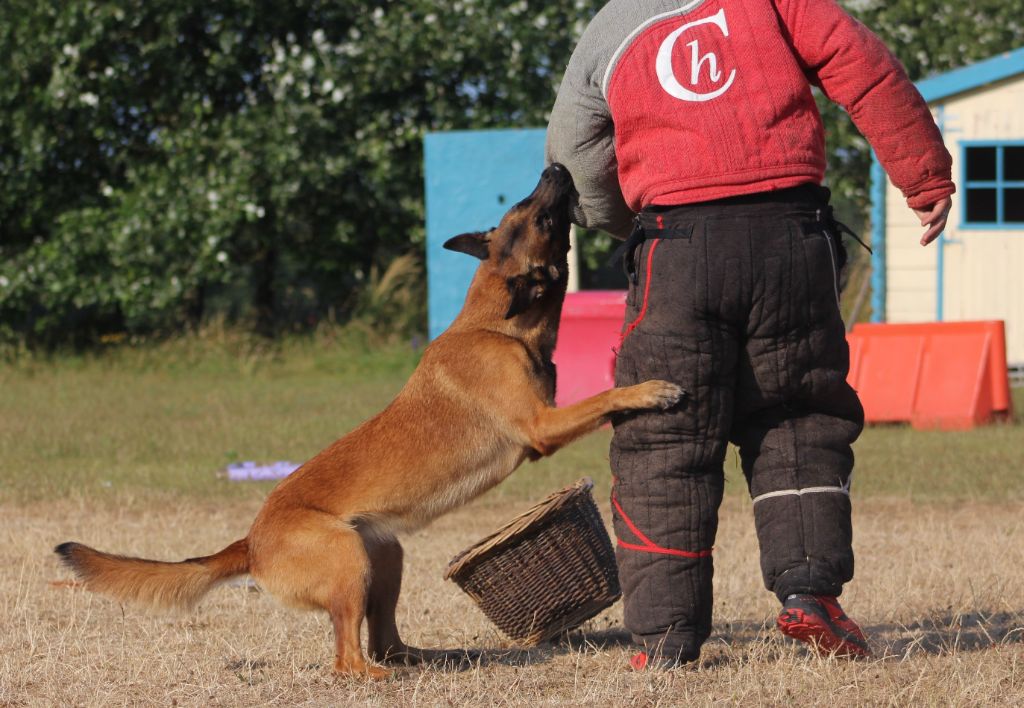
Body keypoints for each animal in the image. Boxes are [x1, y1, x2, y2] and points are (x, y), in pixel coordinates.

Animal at [51, 162, 684, 680]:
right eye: (535, 213)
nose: (555, 167)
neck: (495, 324)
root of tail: (250, 543)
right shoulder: (542, 426)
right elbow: (605, 397)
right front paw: (650, 390)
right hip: (349, 561)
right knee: (349, 659)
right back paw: (384, 678)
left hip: (386, 557)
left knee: (384, 641)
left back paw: (431, 659)